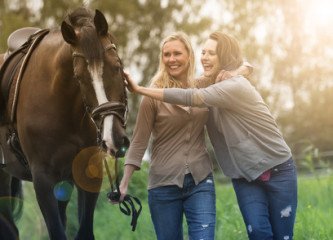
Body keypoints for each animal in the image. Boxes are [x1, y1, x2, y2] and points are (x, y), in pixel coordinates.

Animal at [0, 7, 129, 240]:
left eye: (117, 66)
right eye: (79, 76)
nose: (113, 138)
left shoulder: (86, 172)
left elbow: (84, 231)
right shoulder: (43, 180)